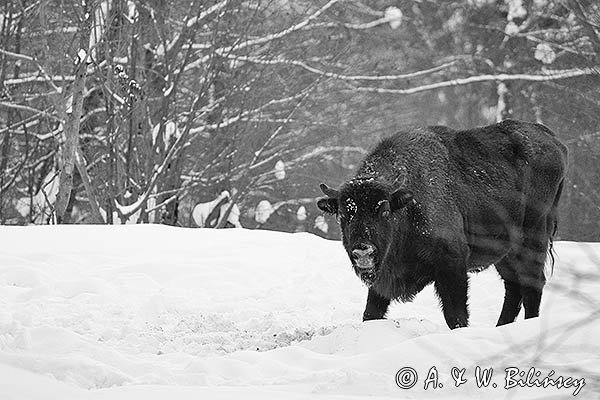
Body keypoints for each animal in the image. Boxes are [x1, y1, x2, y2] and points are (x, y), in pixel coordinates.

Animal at [318, 119, 568, 328]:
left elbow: (455, 315)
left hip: (534, 238)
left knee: (532, 285)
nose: (363, 251)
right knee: (513, 287)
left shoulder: (451, 264)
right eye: (343, 213)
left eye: (385, 210)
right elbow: (371, 312)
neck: (408, 204)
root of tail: (555, 142)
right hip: (505, 251)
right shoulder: (383, 279)